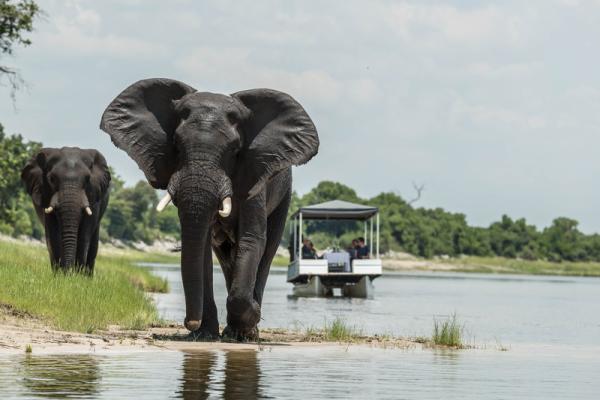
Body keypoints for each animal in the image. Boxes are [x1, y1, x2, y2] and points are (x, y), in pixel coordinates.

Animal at [101, 79, 318, 340]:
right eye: (176, 145)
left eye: (235, 150)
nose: (189, 322)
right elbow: (202, 246)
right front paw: (203, 335)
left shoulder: (255, 176)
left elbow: (251, 239)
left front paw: (249, 321)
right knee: (225, 257)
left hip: (284, 192)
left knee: (267, 251)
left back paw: (245, 330)